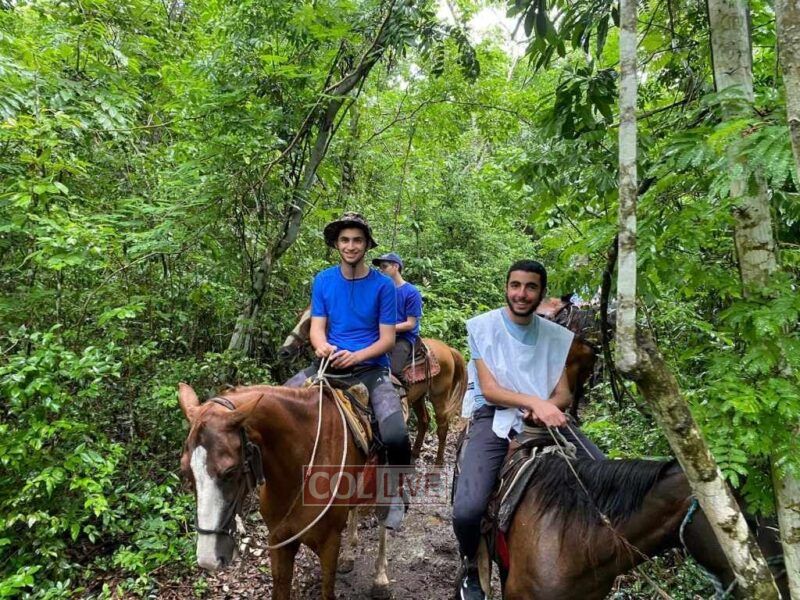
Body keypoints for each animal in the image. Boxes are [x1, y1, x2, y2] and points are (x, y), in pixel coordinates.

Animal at [178, 382, 395, 599]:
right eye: (186, 471)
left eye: (230, 471)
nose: (208, 558)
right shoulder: (279, 540)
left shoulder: (330, 543)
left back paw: (381, 579)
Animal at [277, 306, 467, 465]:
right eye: (299, 318)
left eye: (310, 323)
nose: (284, 351)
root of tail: (448, 349)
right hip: (419, 397)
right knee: (424, 420)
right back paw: (414, 455)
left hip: (439, 396)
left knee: (442, 426)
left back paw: (438, 462)